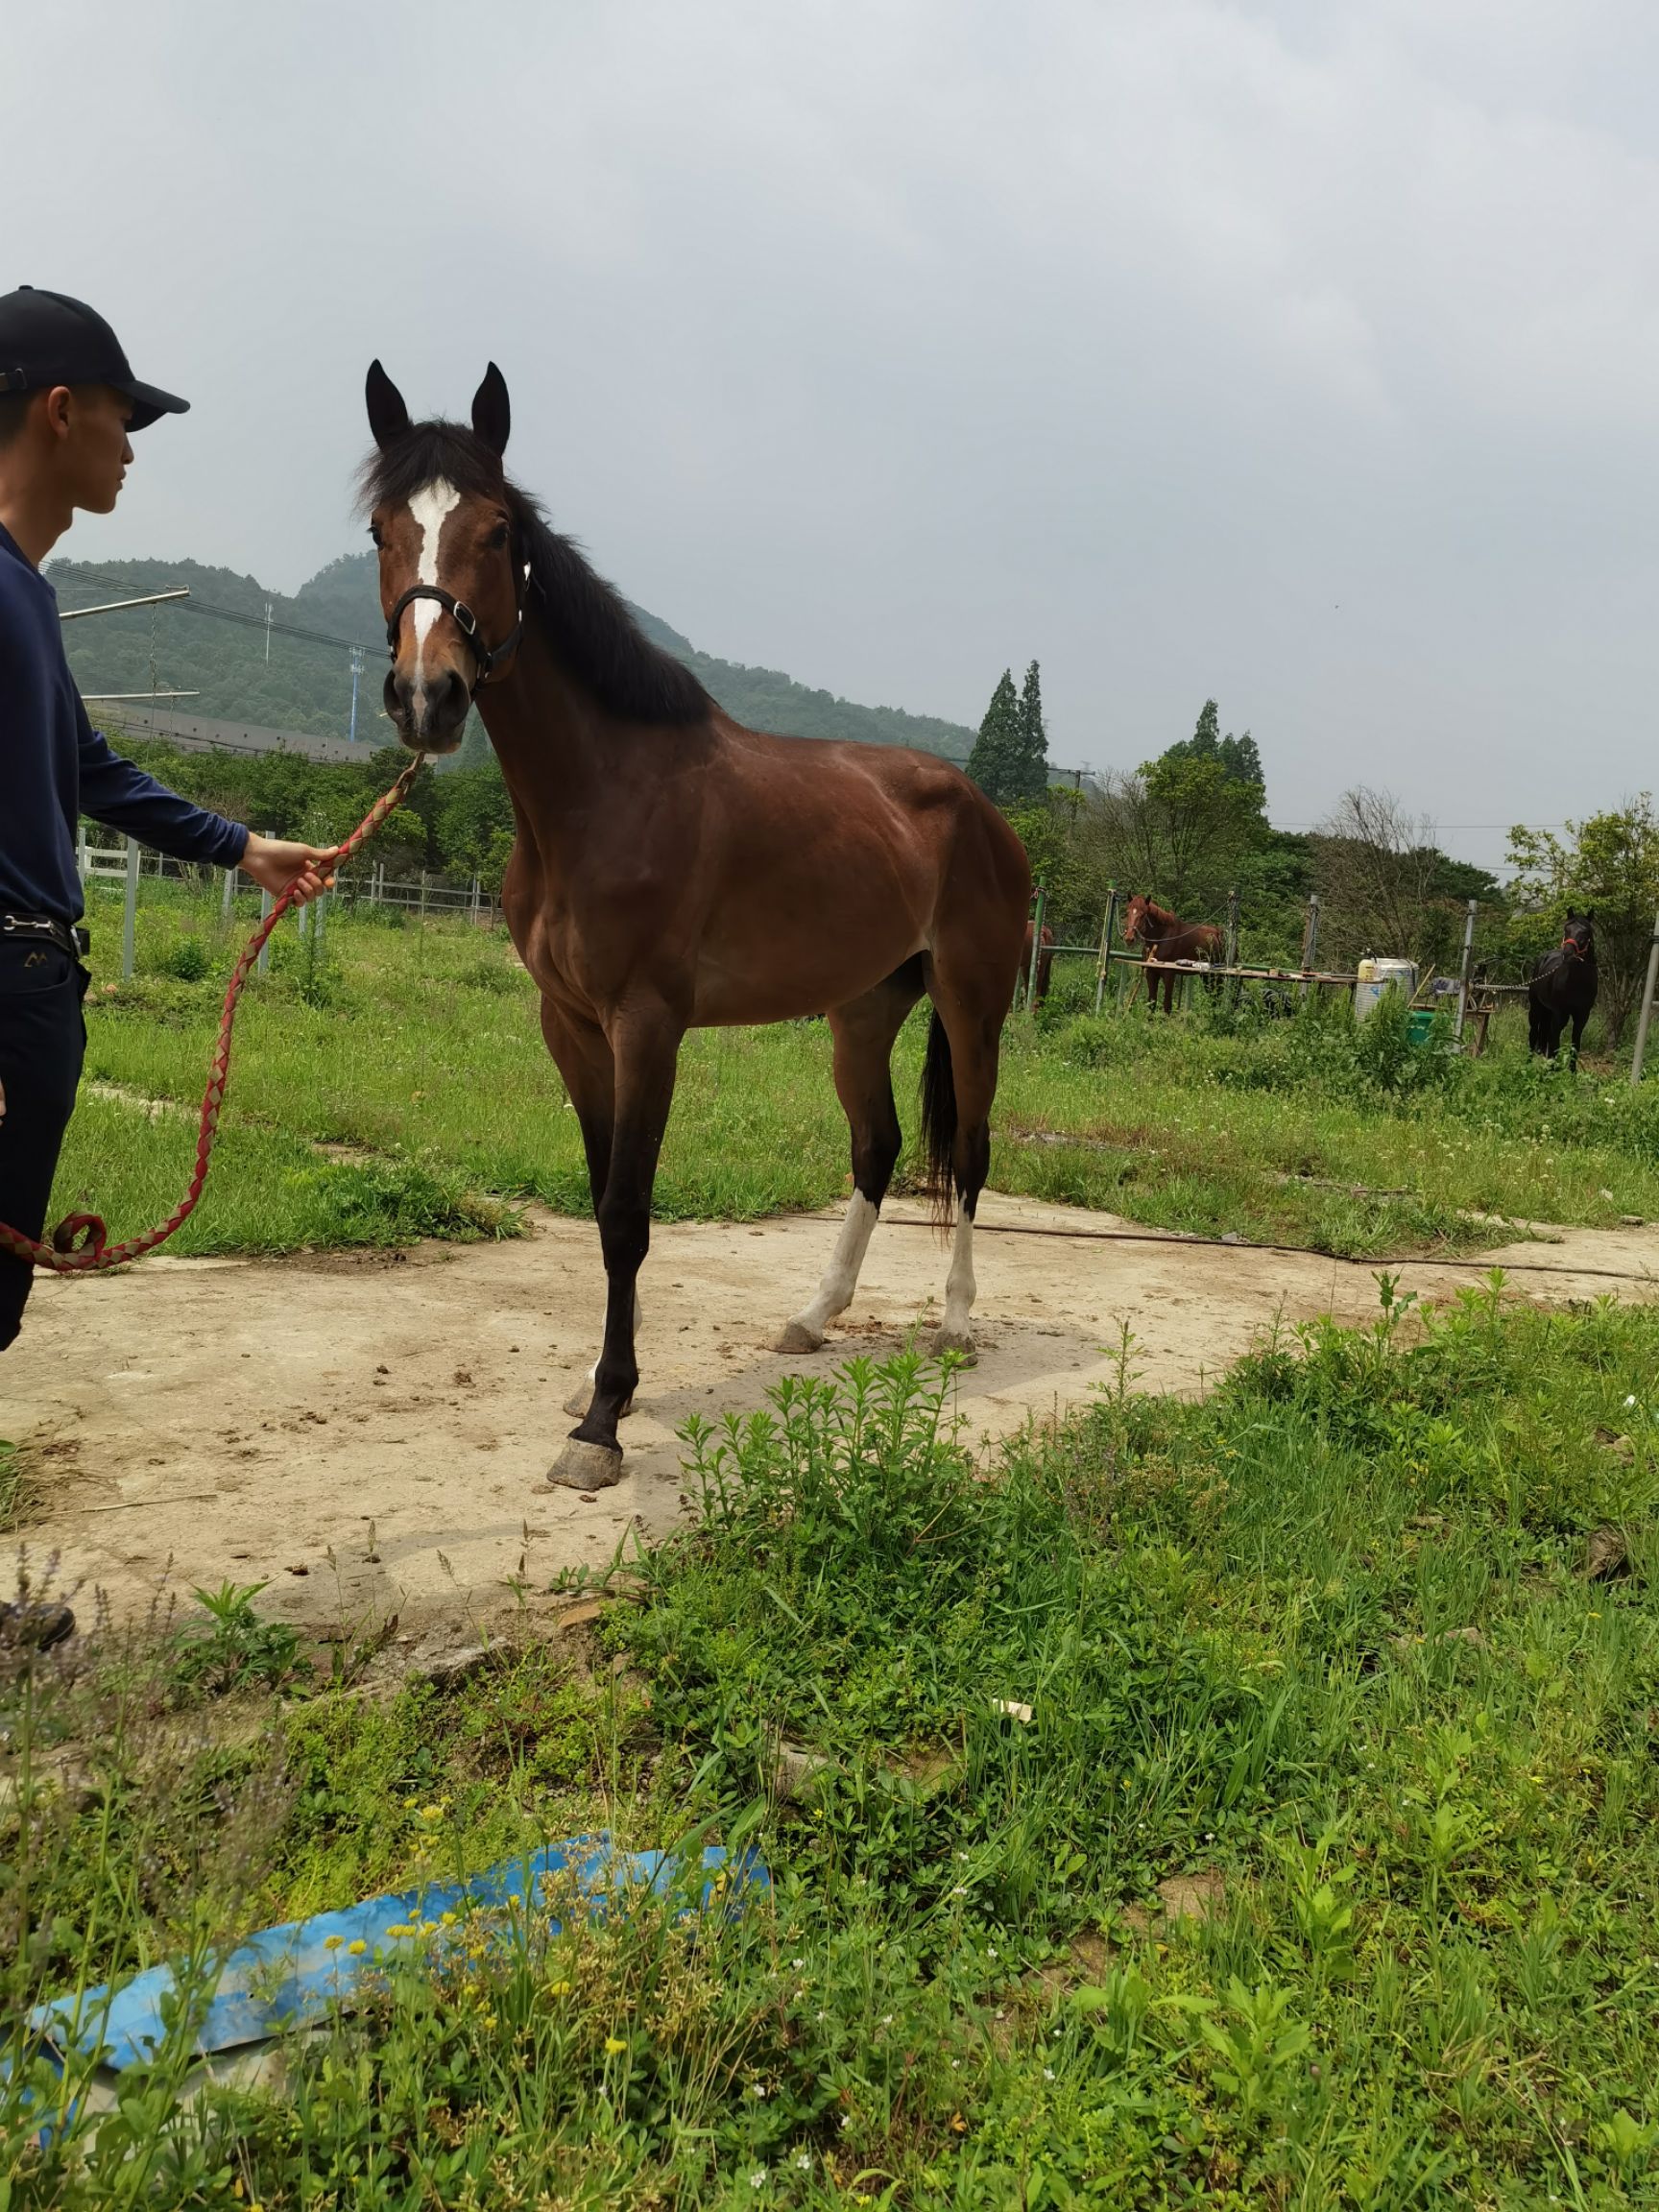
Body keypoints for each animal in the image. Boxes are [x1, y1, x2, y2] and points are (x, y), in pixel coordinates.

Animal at [361, 363, 1032, 1491]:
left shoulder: (648, 1026)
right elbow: (600, 1201)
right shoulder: (569, 1026)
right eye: (379, 529)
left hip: (972, 1006)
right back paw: (814, 1316)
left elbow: (628, 1215)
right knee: (878, 1148)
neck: (602, 797)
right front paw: (600, 1388)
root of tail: (981, 809)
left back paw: (954, 1323)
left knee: (972, 1151)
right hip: (861, 1012)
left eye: (497, 532)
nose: (426, 697)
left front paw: (602, 1425)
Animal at [1528, 911, 1598, 1063]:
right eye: (1566, 929)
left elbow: (1574, 1046)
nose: (1568, 953)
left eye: (1585, 931)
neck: (1577, 982)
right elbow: (1555, 1046)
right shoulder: (1560, 1015)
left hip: (1548, 1012)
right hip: (1536, 1008)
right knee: (1533, 1034)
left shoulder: (1582, 1016)